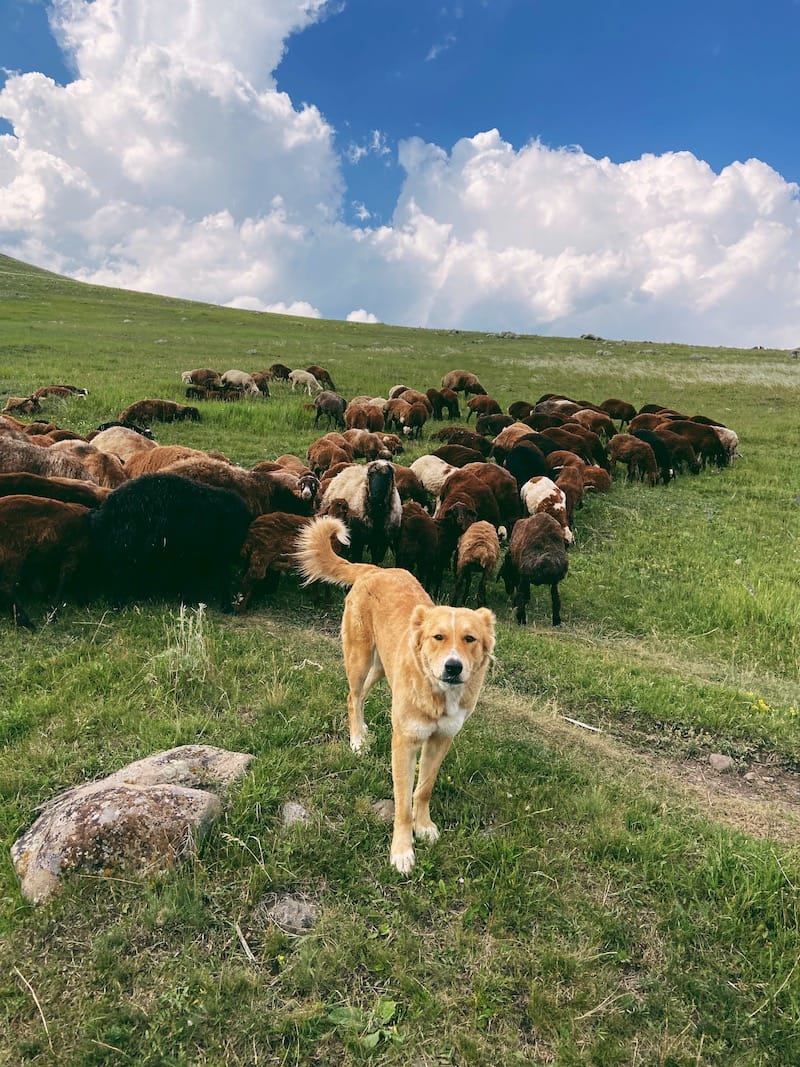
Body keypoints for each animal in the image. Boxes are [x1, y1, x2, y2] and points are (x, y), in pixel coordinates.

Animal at [296, 516, 494, 874]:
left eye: (469, 638)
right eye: (438, 637)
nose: (453, 667)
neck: (437, 694)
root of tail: (377, 569)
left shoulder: (440, 741)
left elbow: (424, 788)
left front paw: (424, 826)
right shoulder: (404, 743)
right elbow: (402, 802)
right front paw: (402, 850)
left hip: (380, 668)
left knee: (361, 696)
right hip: (359, 660)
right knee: (352, 698)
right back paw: (357, 740)